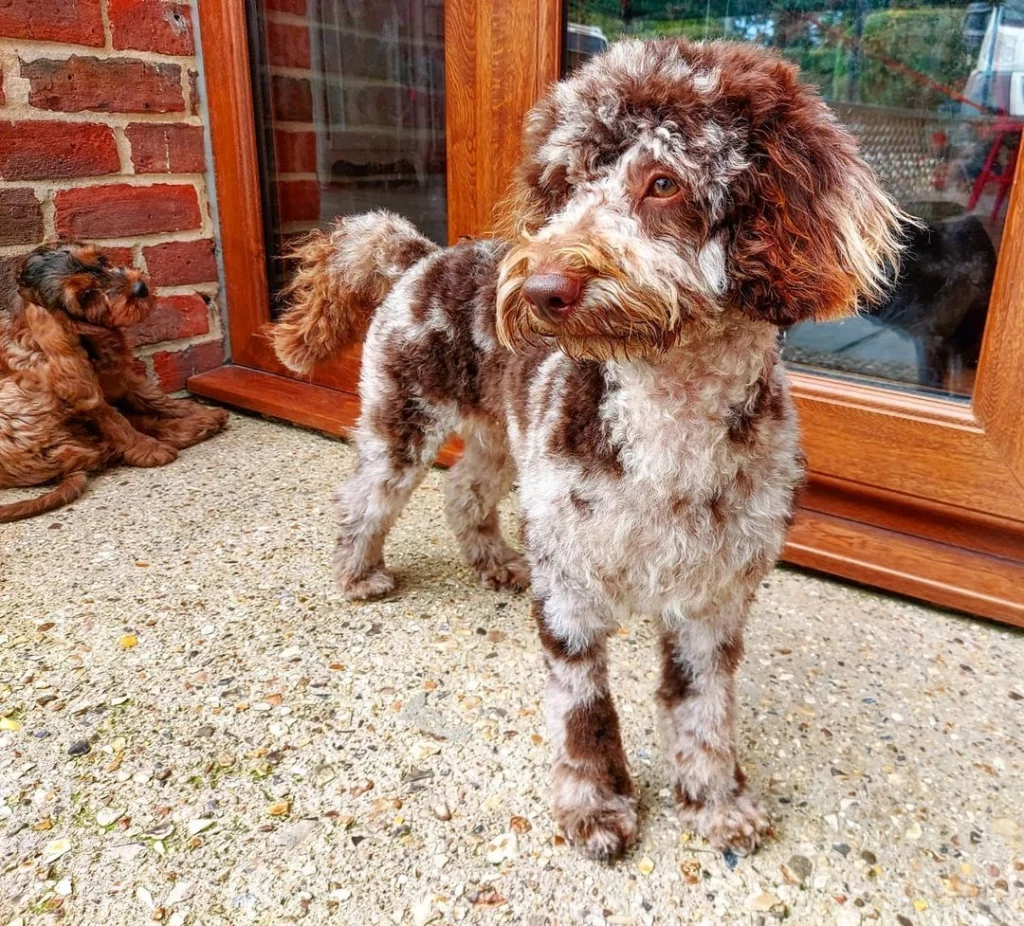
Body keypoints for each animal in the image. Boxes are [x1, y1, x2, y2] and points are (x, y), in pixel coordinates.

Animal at [0, 245, 228, 520]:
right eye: (87, 295)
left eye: (100, 261)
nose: (140, 288)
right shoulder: (85, 393)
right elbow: (115, 422)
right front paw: (149, 450)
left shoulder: (117, 377)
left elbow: (151, 396)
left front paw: (193, 409)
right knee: (109, 447)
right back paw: (189, 430)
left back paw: (204, 420)